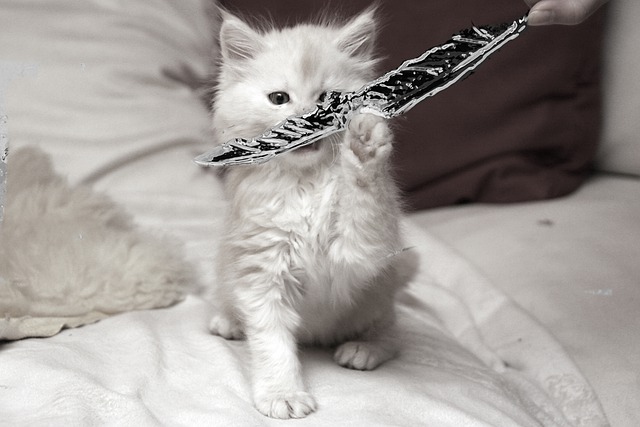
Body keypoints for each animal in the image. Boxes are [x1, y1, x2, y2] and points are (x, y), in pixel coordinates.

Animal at [209, 7, 400, 422]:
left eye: (328, 98)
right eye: (280, 99)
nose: (308, 117)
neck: (303, 183)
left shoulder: (359, 251)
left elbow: (365, 201)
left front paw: (364, 141)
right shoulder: (262, 270)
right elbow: (272, 343)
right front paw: (282, 395)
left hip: (379, 294)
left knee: (390, 333)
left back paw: (362, 349)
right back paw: (229, 322)